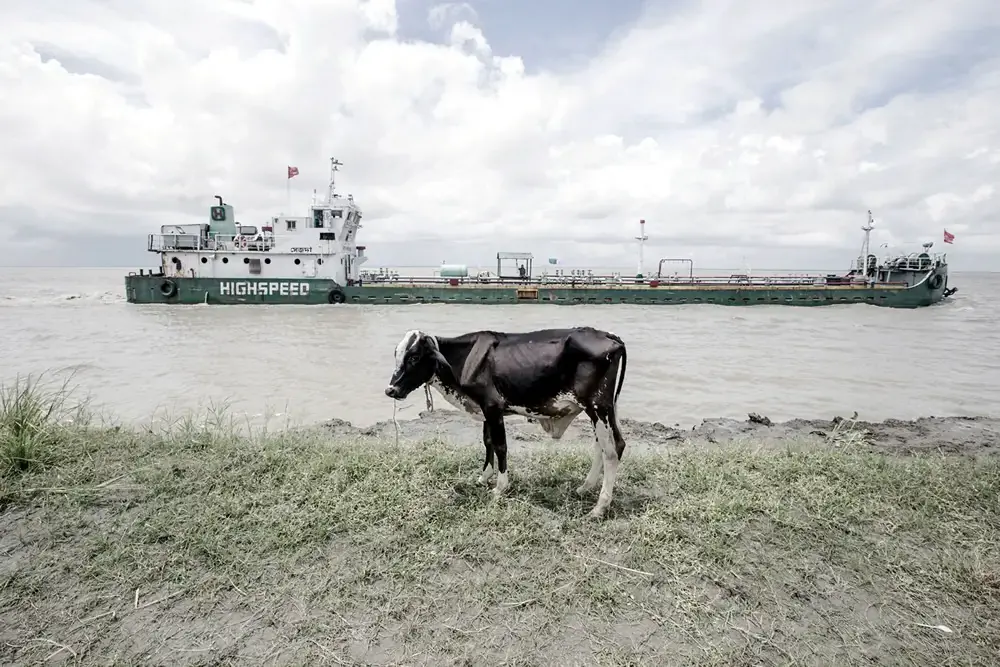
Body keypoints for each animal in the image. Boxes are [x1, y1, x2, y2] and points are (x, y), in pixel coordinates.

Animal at [382, 326, 624, 520]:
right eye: (396, 355)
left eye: (414, 357)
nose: (390, 390)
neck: (465, 357)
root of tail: (609, 335)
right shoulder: (485, 410)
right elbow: (487, 441)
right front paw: (484, 476)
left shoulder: (492, 406)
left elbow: (500, 446)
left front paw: (500, 487)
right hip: (602, 410)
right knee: (607, 446)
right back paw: (585, 487)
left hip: (598, 407)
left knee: (611, 451)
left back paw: (599, 507)